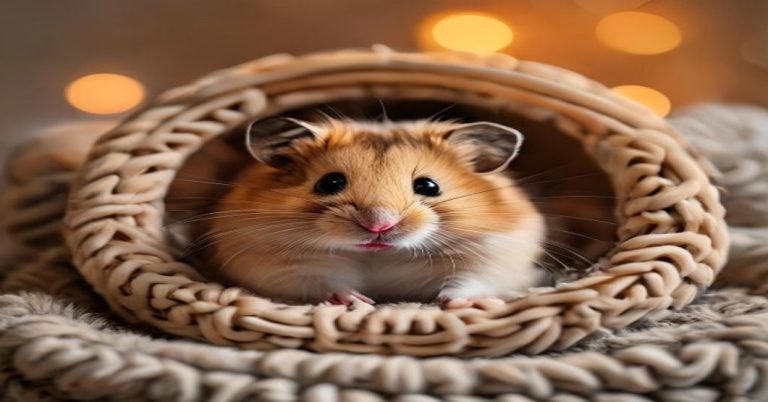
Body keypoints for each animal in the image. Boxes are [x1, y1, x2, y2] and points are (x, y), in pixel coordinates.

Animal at [200, 117, 546, 306]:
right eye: (330, 182)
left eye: (429, 186)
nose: (379, 226)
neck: (377, 255)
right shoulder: (271, 264)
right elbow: (321, 281)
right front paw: (360, 301)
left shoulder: (496, 257)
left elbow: (469, 281)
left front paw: (460, 305)